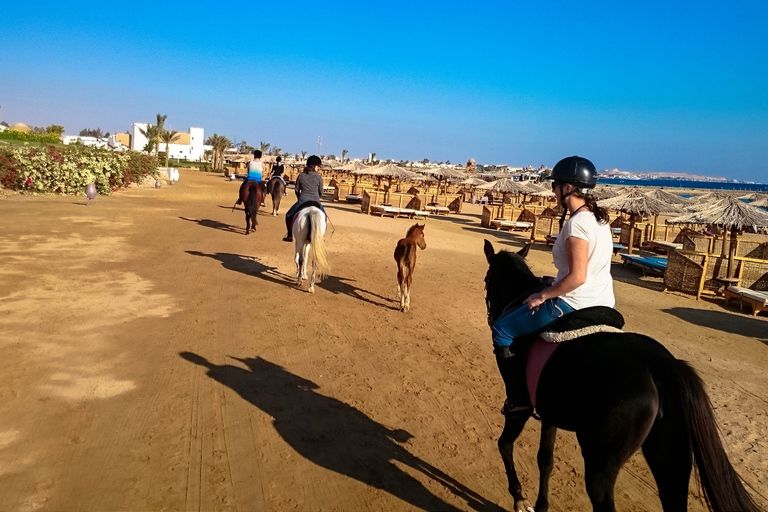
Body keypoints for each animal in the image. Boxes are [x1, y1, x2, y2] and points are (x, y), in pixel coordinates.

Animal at [484, 240, 760, 512]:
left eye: (487, 280)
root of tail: (661, 363)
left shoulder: (522, 407)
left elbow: (505, 444)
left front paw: (519, 498)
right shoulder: (550, 412)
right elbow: (545, 460)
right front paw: (541, 505)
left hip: (600, 463)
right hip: (670, 459)